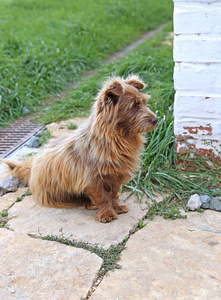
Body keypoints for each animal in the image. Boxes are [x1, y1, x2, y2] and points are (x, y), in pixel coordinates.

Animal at [2, 75, 158, 223]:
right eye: (134, 106)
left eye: (144, 102)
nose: (156, 119)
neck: (116, 138)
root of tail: (32, 168)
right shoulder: (92, 179)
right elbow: (102, 196)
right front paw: (107, 213)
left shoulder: (116, 175)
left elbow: (112, 193)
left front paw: (117, 207)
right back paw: (89, 203)